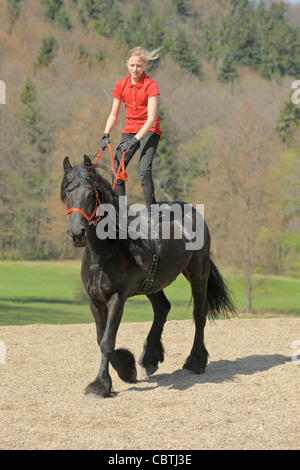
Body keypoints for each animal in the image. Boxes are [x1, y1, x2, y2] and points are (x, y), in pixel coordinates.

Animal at [61, 156, 236, 398]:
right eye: (67, 194)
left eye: (90, 193)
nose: (77, 234)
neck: (105, 252)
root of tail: (189, 209)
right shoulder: (94, 300)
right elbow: (100, 338)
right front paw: (127, 368)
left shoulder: (117, 298)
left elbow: (107, 341)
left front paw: (100, 385)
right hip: (153, 283)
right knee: (163, 308)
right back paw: (150, 358)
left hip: (198, 274)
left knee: (199, 315)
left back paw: (195, 362)